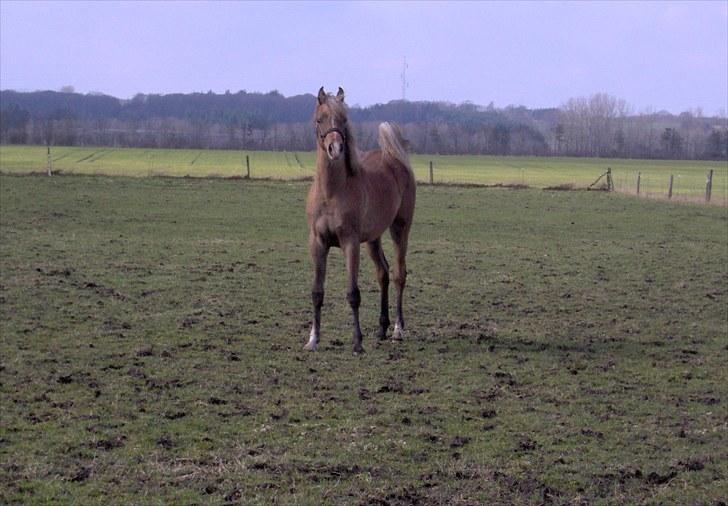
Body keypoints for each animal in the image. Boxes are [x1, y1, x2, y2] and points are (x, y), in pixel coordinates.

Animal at [302, 87, 416, 354]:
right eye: (320, 119)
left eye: (344, 120)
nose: (335, 149)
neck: (332, 192)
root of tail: (395, 159)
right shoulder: (318, 243)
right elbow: (317, 292)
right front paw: (313, 339)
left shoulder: (350, 243)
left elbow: (353, 293)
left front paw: (357, 343)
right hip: (374, 238)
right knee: (383, 273)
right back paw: (382, 329)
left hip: (400, 229)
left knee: (399, 274)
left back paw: (397, 330)